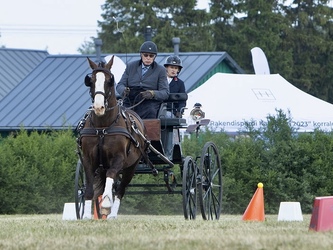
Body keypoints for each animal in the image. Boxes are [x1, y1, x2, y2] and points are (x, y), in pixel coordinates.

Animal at [78, 56, 149, 219]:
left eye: (110, 80)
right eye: (90, 80)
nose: (99, 107)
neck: (102, 127)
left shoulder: (119, 158)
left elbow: (112, 175)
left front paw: (105, 204)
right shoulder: (87, 159)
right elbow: (89, 186)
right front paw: (86, 215)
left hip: (131, 167)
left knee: (120, 189)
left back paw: (112, 214)